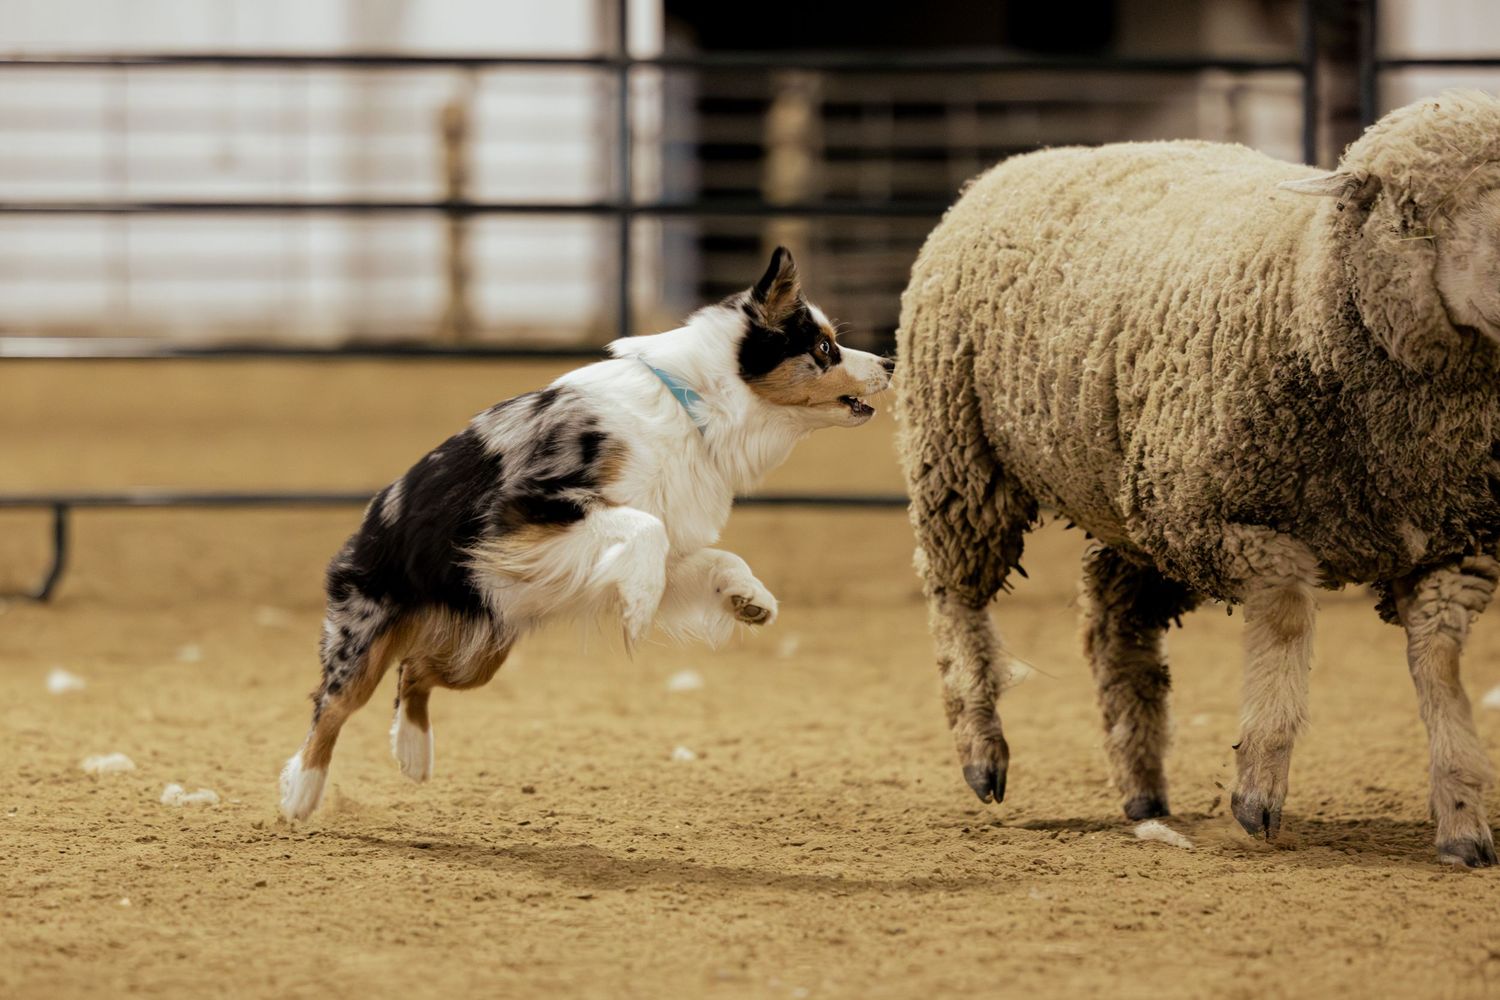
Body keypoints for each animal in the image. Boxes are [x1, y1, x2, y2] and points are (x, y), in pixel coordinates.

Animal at [895, 90, 1500, 867]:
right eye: (1412, 210)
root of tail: (1008, 166)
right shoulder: (1217, 520)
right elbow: (1287, 611)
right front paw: (1258, 788)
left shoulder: (1456, 544)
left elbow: (1441, 663)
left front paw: (1461, 819)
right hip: (961, 454)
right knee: (956, 597)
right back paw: (981, 747)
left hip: (1129, 507)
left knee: (1114, 624)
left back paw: (1143, 788)